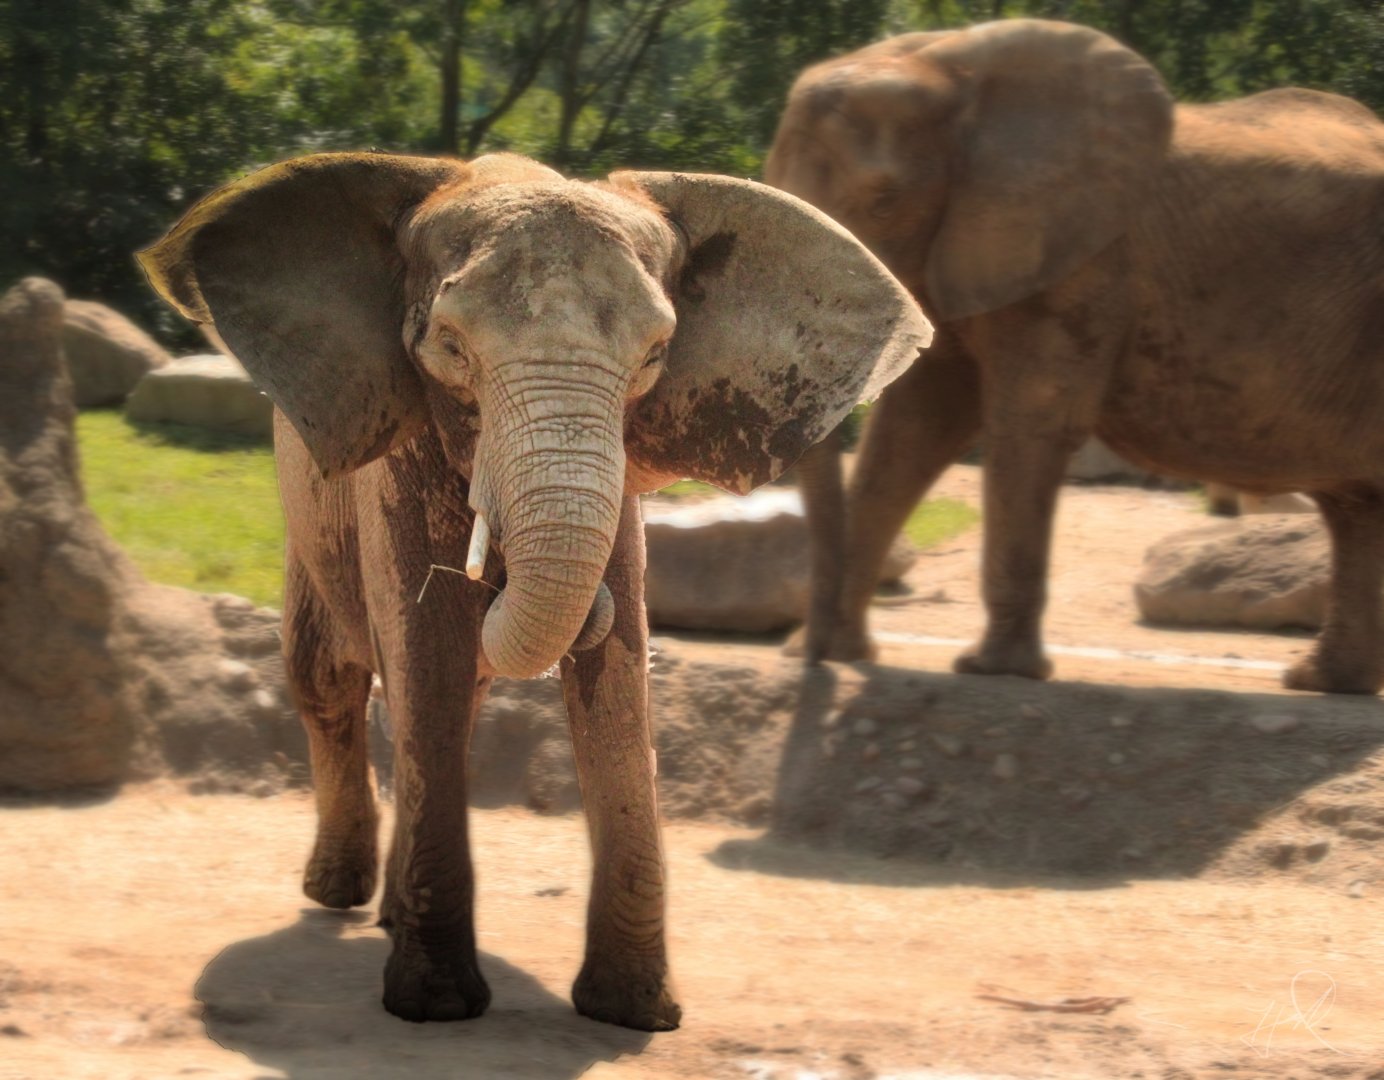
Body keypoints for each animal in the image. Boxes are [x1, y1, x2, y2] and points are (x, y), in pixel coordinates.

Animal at [138, 151, 930, 1028]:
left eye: (655, 354)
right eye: (449, 345)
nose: (502, 570)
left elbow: (617, 683)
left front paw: (634, 1013)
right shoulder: (397, 466)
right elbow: (430, 653)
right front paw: (435, 1005)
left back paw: (387, 914)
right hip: (305, 523)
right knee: (332, 680)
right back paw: (340, 897)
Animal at [766, 18, 1384, 694]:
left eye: (883, 200)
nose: (812, 661)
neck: (940, 66)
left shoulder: (1082, 263)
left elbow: (1027, 425)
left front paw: (991, 671)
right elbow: (914, 431)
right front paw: (833, 653)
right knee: (1354, 508)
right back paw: (1321, 682)